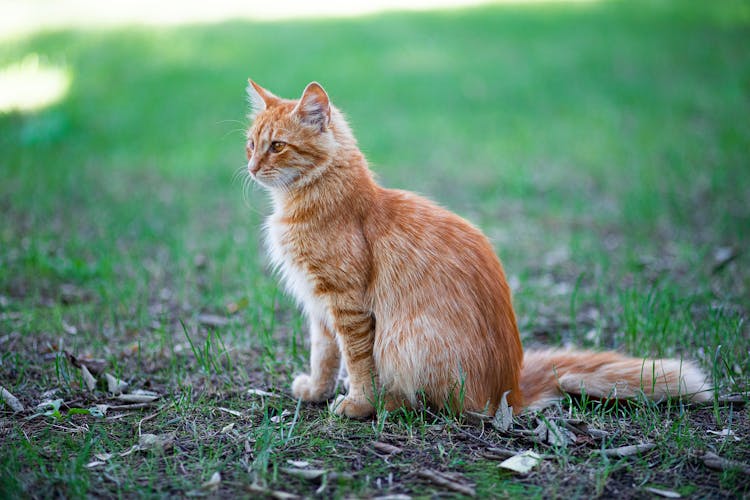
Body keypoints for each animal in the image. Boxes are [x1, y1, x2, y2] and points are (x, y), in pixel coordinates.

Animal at [245, 81, 712, 418]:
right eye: (251, 143)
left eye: (277, 146)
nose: (250, 167)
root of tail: (513, 388)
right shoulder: (319, 308)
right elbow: (324, 356)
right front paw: (316, 390)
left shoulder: (348, 307)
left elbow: (357, 362)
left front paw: (359, 404)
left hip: (405, 340)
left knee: (435, 405)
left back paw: (386, 404)